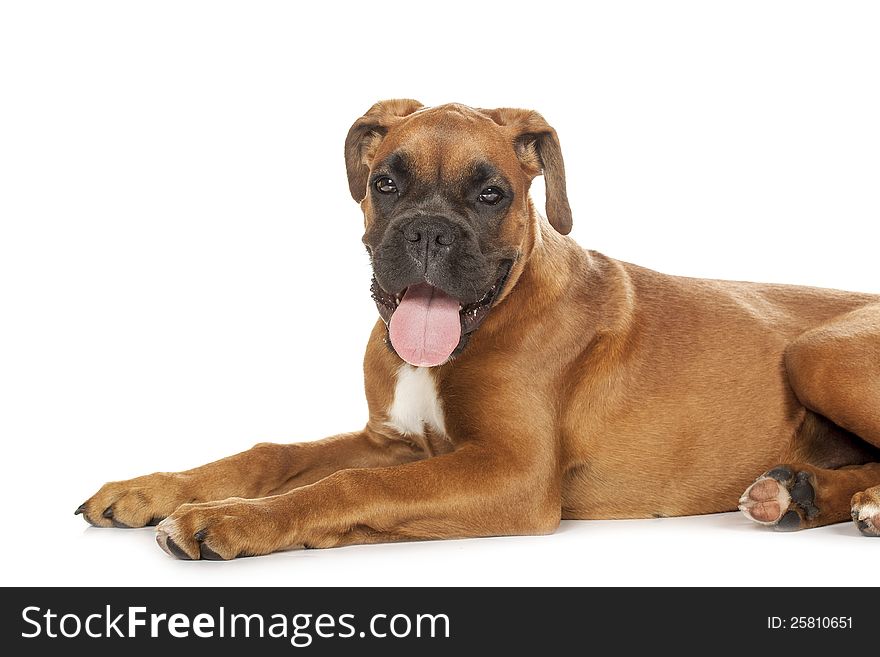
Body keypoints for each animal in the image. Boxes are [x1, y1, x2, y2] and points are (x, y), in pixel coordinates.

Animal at [75, 98, 880, 560]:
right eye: (385, 182)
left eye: (491, 193)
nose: (429, 233)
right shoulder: (394, 442)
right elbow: (276, 453)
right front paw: (153, 488)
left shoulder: (511, 473)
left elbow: (345, 487)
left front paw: (231, 521)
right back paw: (800, 495)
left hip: (818, 353)